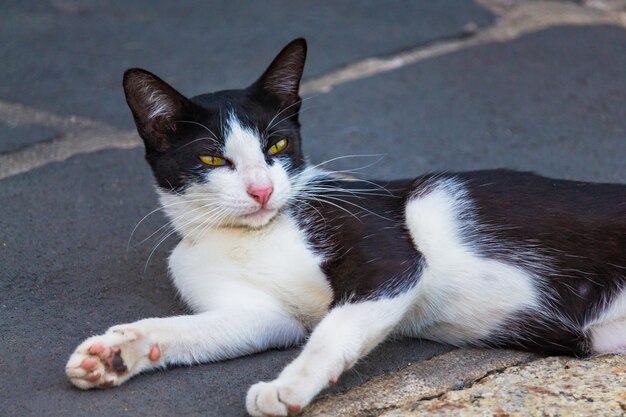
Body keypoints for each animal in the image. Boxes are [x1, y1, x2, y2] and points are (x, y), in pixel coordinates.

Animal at [64, 39, 624, 416]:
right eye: (212, 158)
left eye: (277, 146)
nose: (262, 190)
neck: (255, 236)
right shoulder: (262, 314)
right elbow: (205, 329)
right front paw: (119, 352)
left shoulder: (389, 256)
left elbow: (333, 328)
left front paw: (288, 387)